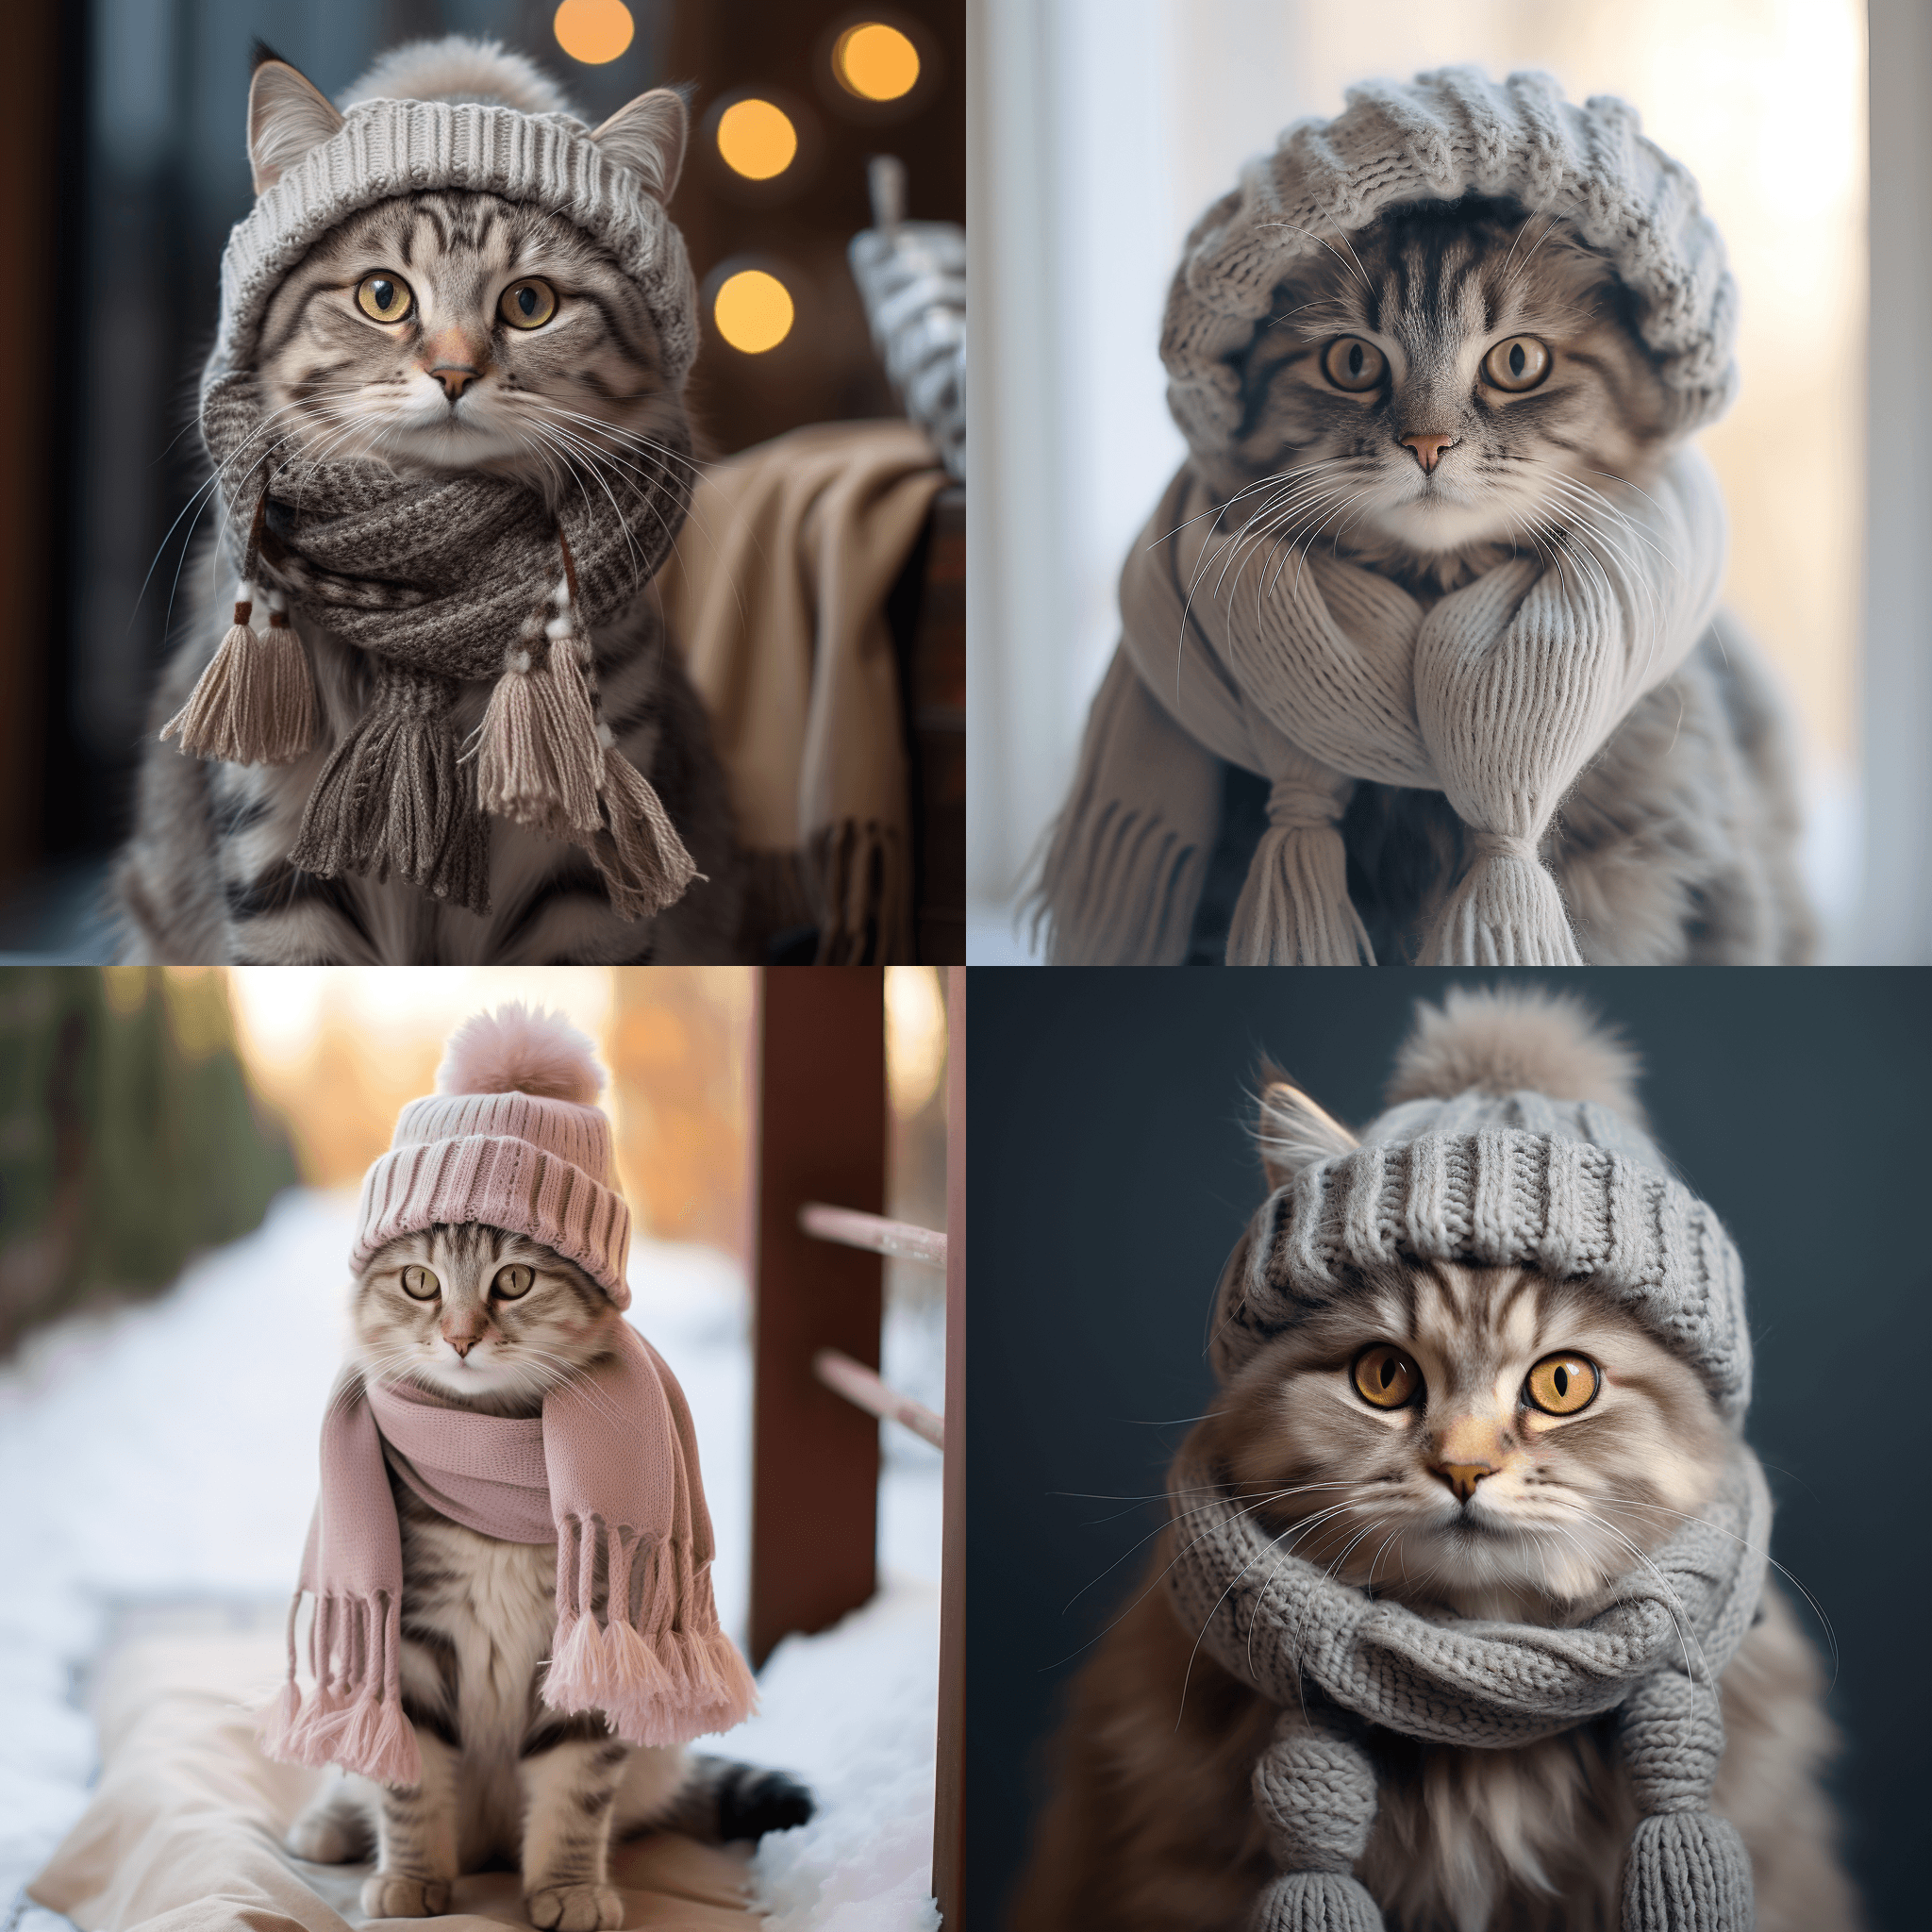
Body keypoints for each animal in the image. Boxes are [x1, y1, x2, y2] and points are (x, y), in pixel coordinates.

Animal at [282, 1221, 811, 1932]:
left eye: (514, 1280)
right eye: (419, 1282)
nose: (460, 1337)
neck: (486, 1452)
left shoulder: (591, 1640)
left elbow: (574, 1793)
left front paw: (569, 1888)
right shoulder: (408, 1642)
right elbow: (408, 1777)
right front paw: (412, 1880)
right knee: (354, 1768)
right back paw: (329, 1827)